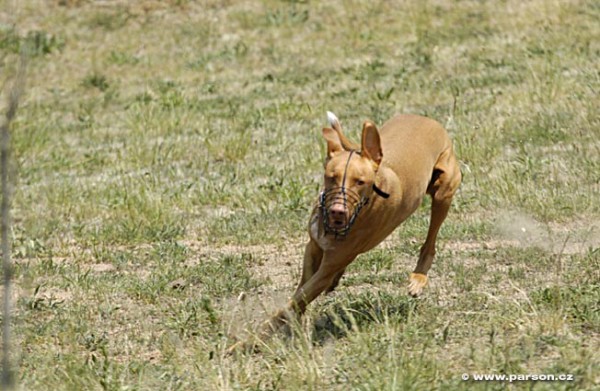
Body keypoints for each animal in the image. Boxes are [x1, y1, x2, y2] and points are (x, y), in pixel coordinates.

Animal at [227, 113, 462, 356]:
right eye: (331, 177)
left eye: (360, 182)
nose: (337, 210)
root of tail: (425, 119)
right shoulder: (313, 248)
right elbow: (299, 295)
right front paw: (294, 328)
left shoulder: (327, 268)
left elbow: (290, 305)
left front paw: (247, 343)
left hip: (444, 191)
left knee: (430, 241)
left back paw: (418, 277)